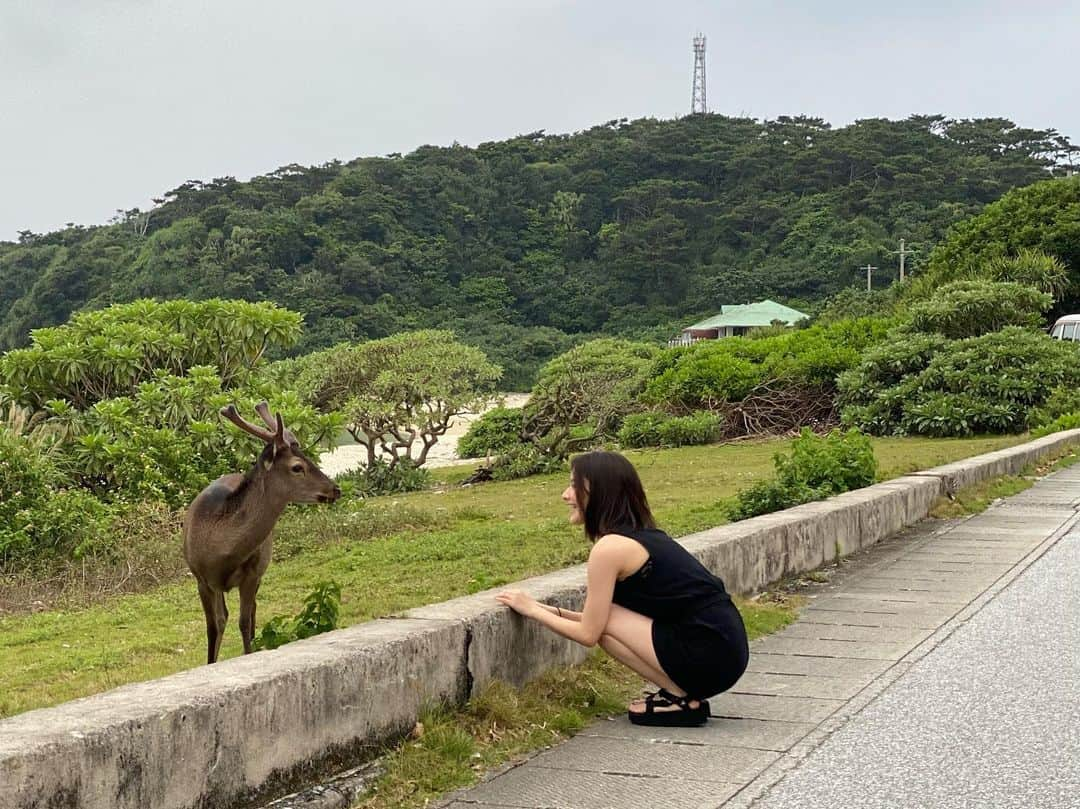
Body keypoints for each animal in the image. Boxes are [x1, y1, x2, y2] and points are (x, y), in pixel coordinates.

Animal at [183, 401, 339, 661]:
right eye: (297, 467)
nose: (335, 489)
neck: (220, 550)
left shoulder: (252, 573)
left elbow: (244, 622)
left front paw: (249, 653)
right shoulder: (201, 578)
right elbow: (213, 627)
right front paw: (210, 662)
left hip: (261, 567)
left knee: (251, 612)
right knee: (223, 617)